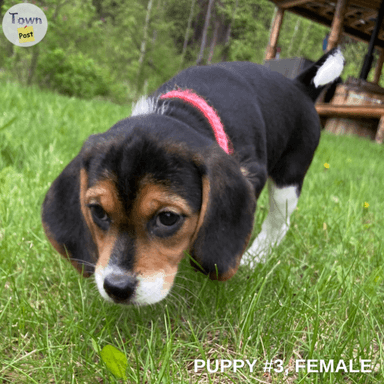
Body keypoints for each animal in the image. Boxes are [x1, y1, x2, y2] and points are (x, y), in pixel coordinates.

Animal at [42, 48, 344, 306]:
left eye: (168, 218)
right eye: (98, 212)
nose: (117, 287)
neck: (183, 112)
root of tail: (300, 86)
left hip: (288, 179)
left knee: (278, 223)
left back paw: (255, 257)